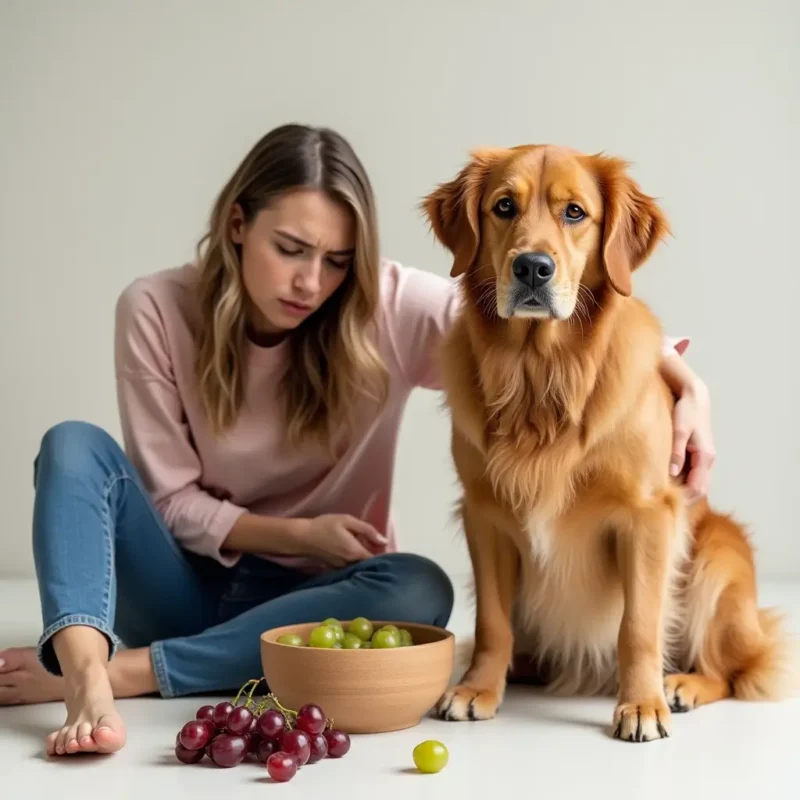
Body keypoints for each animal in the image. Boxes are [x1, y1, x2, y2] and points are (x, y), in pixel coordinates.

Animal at [422, 145, 796, 744]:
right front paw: (478, 688)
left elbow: (638, 627)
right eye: (503, 206)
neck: (541, 378)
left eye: (575, 212)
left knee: (733, 671)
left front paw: (641, 704)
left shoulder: (647, 515)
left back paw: (682, 685)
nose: (532, 267)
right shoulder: (484, 513)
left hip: (717, 556)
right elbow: (492, 623)